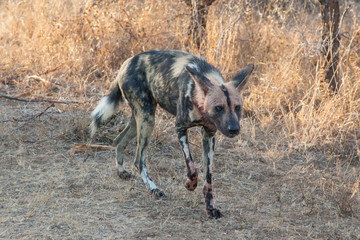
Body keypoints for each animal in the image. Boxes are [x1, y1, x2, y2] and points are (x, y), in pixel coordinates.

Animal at [90, 49, 253, 218]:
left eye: (237, 107)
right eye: (219, 108)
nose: (234, 129)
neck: (199, 100)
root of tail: (127, 62)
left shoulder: (209, 135)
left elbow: (208, 177)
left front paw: (210, 208)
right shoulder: (180, 128)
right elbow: (192, 169)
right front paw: (189, 184)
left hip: (140, 120)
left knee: (118, 141)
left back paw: (121, 172)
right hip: (147, 119)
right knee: (139, 159)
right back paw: (154, 189)